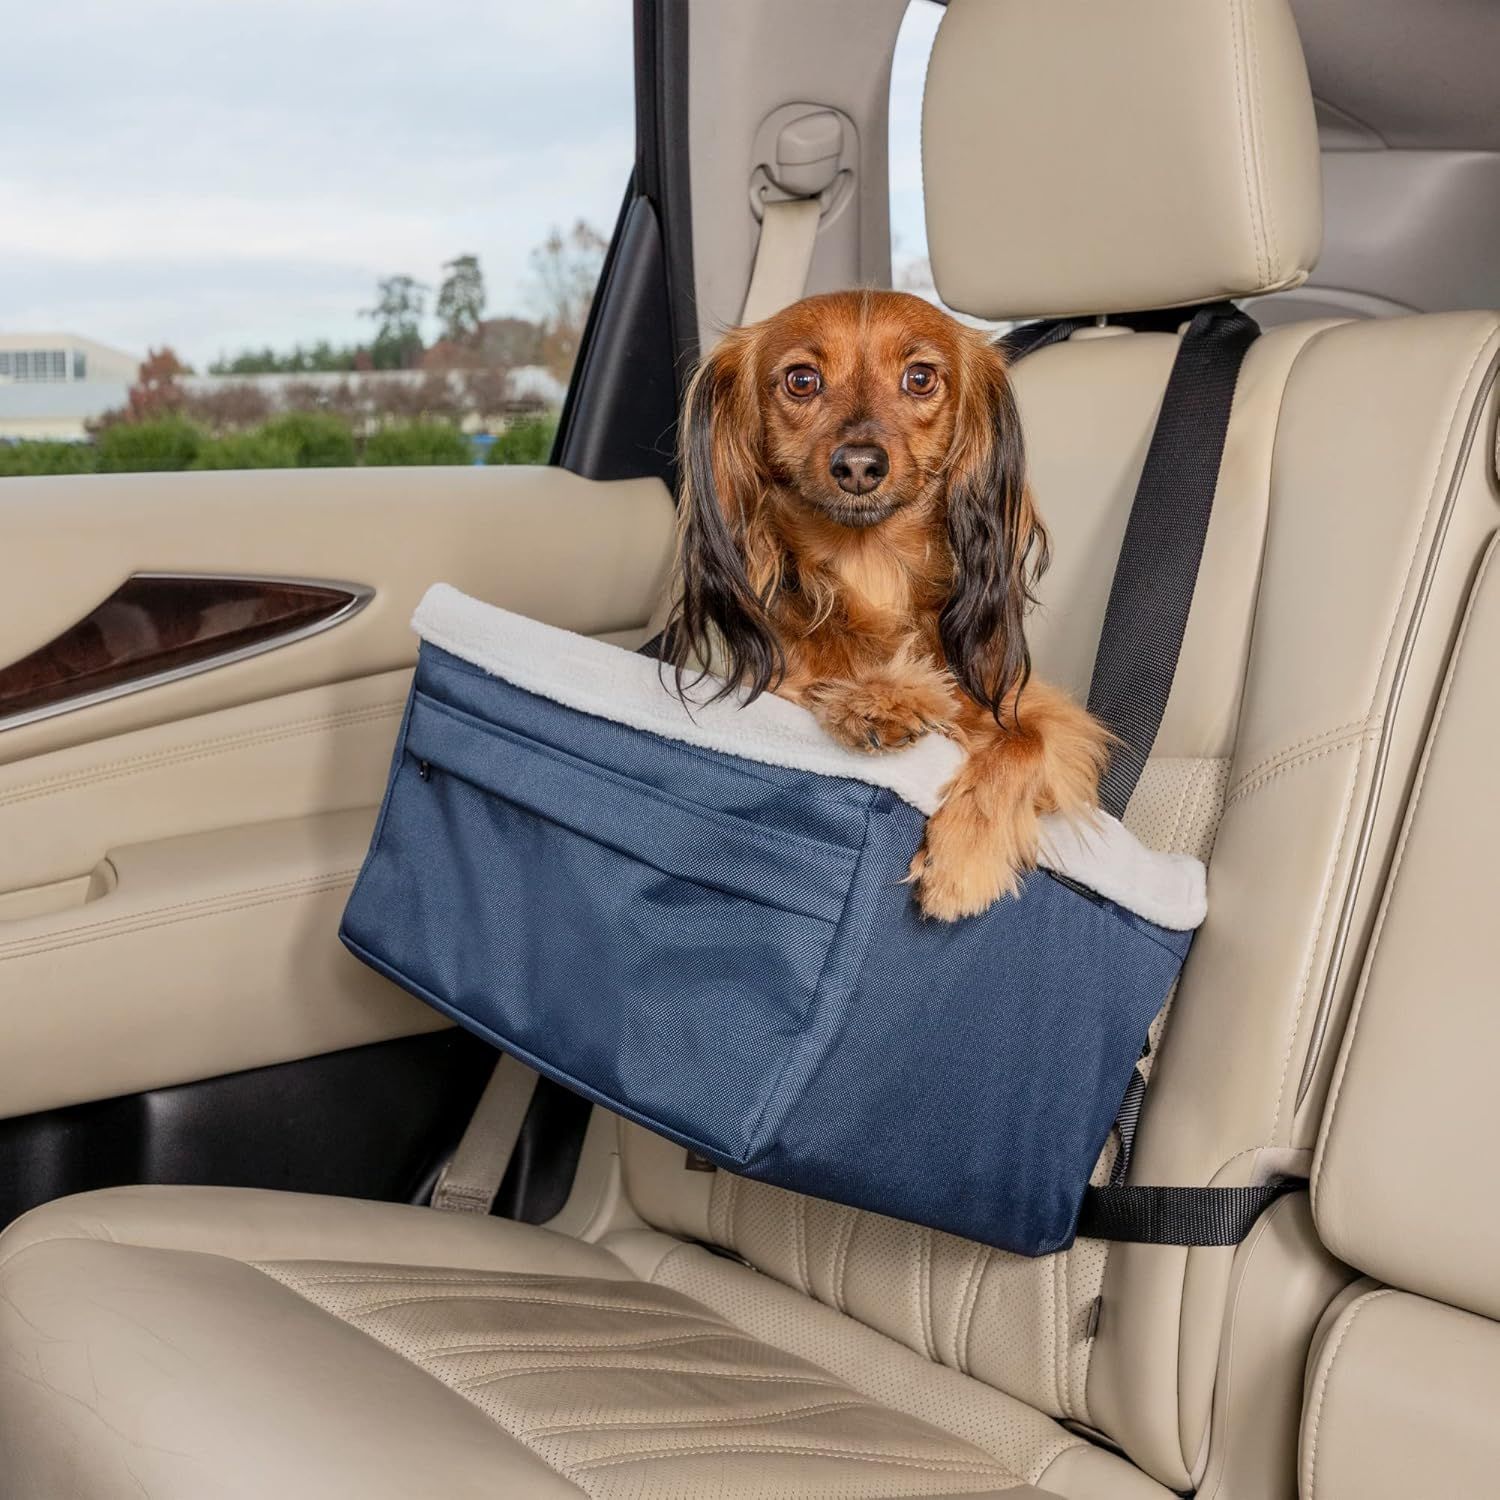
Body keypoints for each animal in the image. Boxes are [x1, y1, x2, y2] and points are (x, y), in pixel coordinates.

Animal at [663, 286, 1110, 918]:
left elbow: (1025, 739)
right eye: (801, 380)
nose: (858, 465)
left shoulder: (1054, 724)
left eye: (920, 378)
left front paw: (965, 858)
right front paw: (883, 699)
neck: (871, 572)